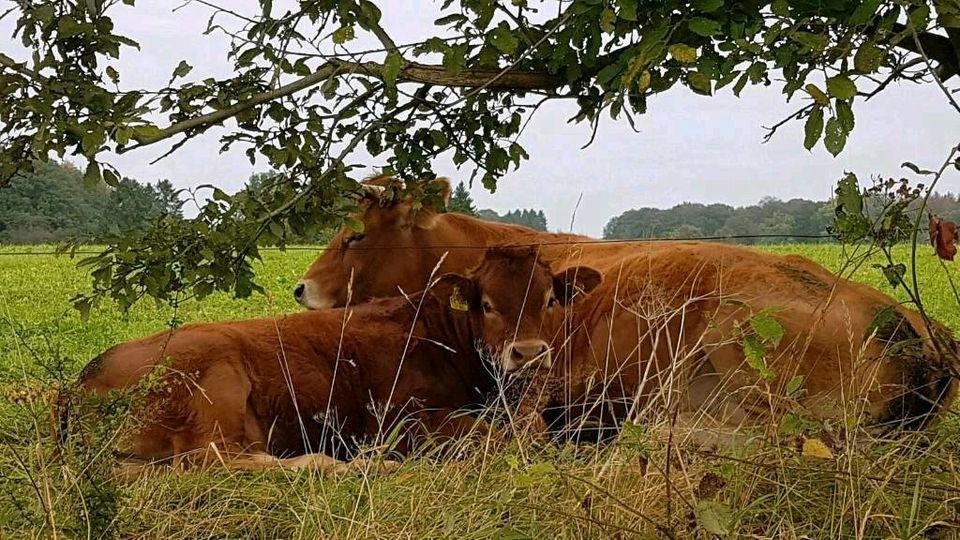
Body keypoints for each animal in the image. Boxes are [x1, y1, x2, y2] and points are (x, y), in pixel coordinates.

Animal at [62, 247, 600, 474]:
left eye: (550, 300)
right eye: (486, 304)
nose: (528, 354)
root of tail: (80, 379)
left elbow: (534, 432)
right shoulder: (407, 420)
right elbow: (495, 437)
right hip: (215, 384)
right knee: (209, 461)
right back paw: (339, 464)